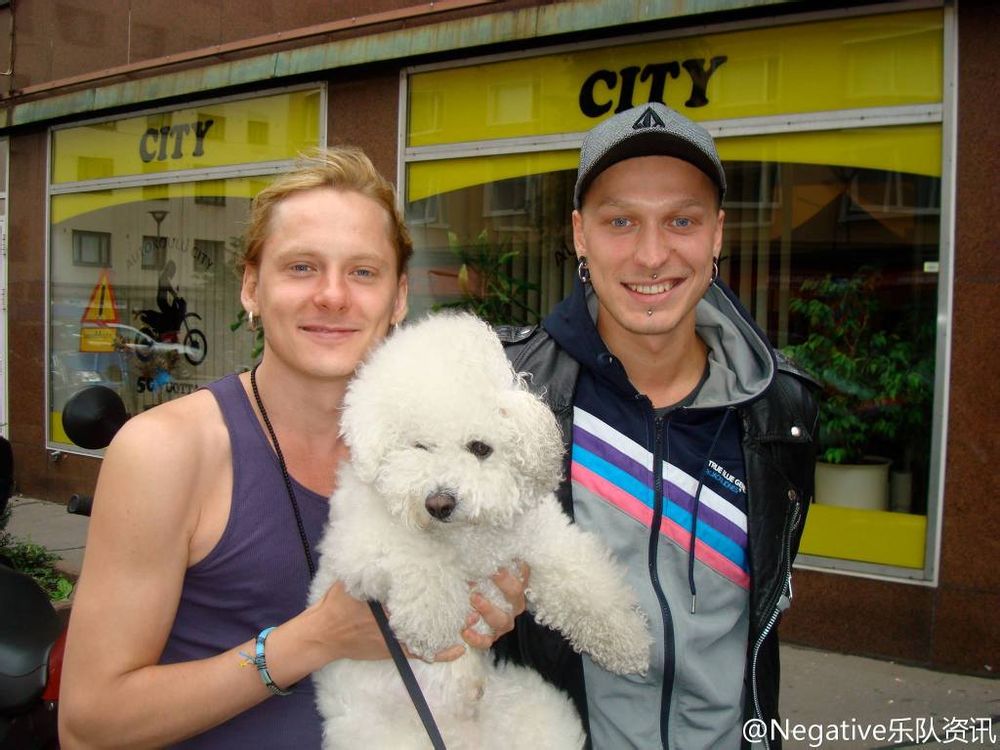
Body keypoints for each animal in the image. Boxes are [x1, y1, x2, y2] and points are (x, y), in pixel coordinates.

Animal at [308, 312, 650, 749]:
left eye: (479, 448)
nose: (439, 503)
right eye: (419, 446)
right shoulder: (359, 539)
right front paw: (432, 621)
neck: (468, 535)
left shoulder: (542, 542)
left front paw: (629, 643)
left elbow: (586, 587)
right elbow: (416, 551)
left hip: (533, 714)